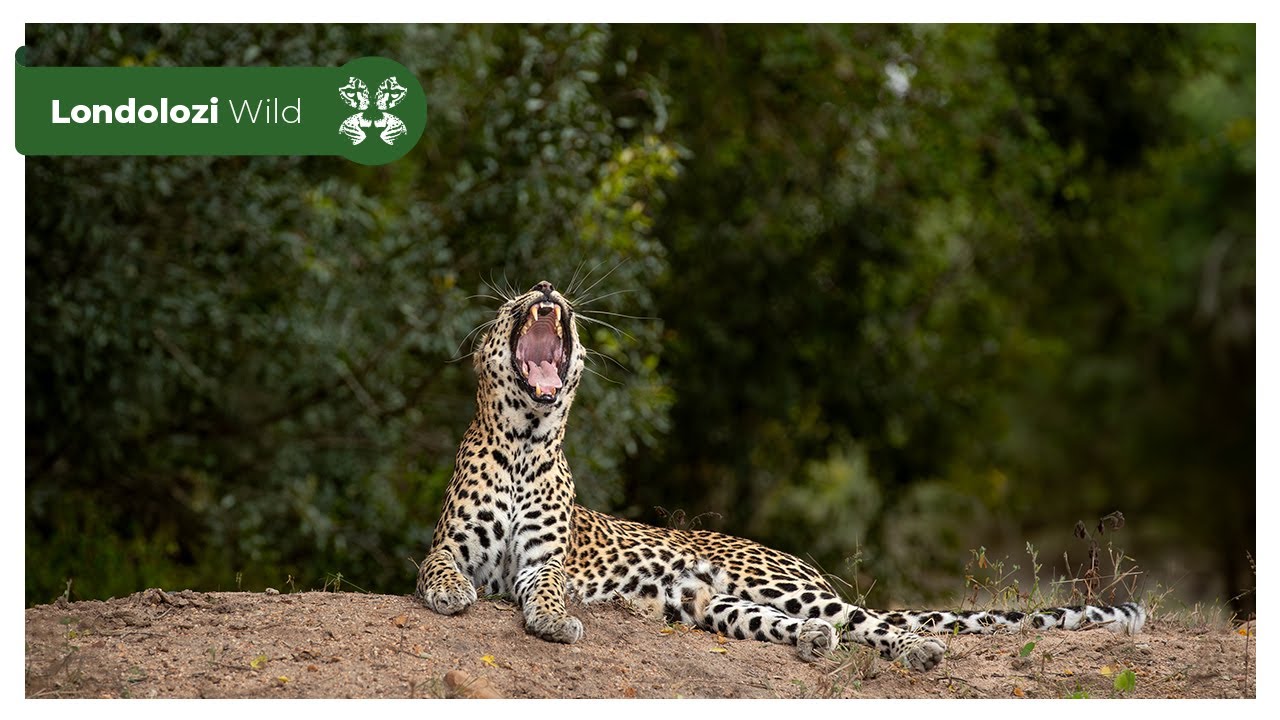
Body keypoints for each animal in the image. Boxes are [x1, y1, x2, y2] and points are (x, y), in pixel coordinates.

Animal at [414, 280, 1146, 670]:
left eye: (548, 294)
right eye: (512, 299)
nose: (544, 289)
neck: (525, 440)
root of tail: (802, 567)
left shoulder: (547, 564)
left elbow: (545, 590)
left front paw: (553, 619)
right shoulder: (447, 546)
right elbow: (439, 569)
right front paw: (452, 595)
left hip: (783, 586)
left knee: (871, 621)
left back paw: (917, 649)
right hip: (710, 604)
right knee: (804, 625)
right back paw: (816, 641)